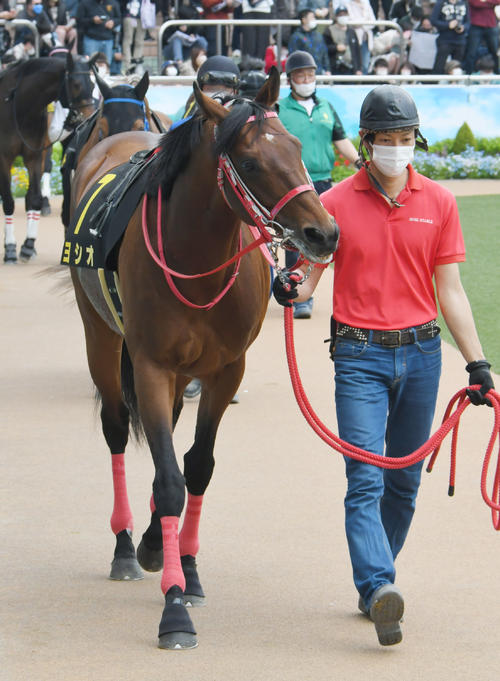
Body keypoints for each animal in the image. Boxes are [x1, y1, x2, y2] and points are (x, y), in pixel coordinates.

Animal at [0, 53, 94, 263]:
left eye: (93, 85)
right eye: (75, 84)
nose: (89, 116)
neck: (19, 106)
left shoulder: (34, 155)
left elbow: (34, 198)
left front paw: (28, 246)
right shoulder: (4, 157)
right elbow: (9, 201)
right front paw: (10, 248)